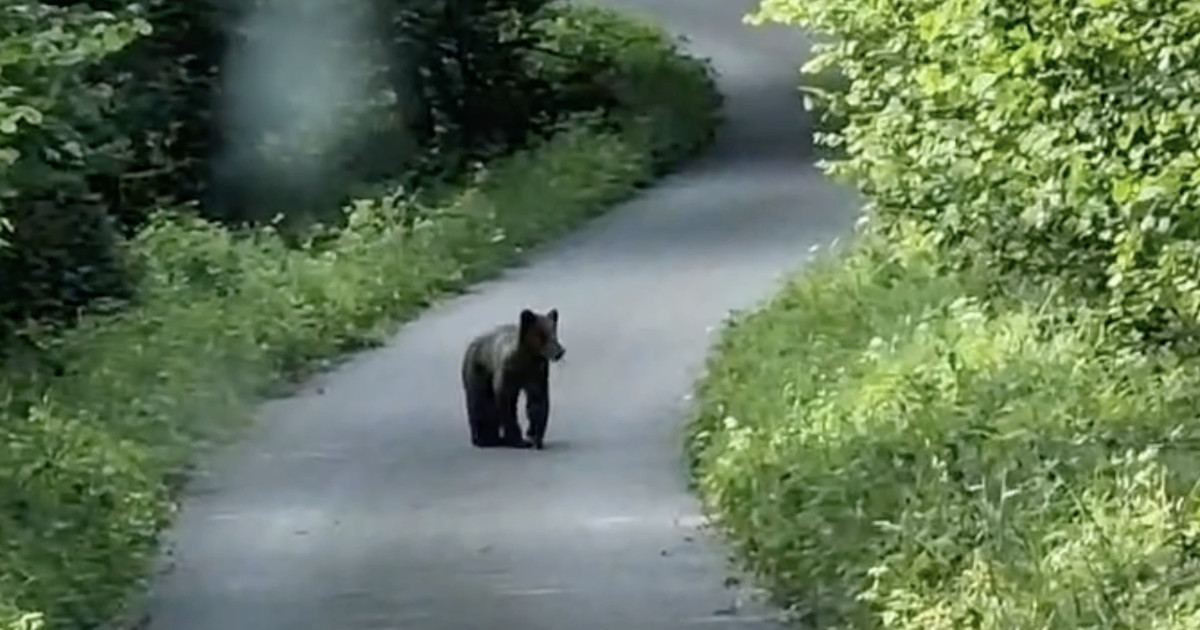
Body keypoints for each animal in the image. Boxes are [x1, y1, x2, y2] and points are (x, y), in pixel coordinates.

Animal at [463, 307, 566, 446]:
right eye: (542, 335)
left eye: (554, 332)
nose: (560, 352)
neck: (526, 357)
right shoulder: (507, 372)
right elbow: (506, 403)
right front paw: (519, 440)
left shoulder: (537, 373)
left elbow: (537, 401)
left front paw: (536, 437)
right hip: (478, 372)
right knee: (481, 404)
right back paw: (483, 438)